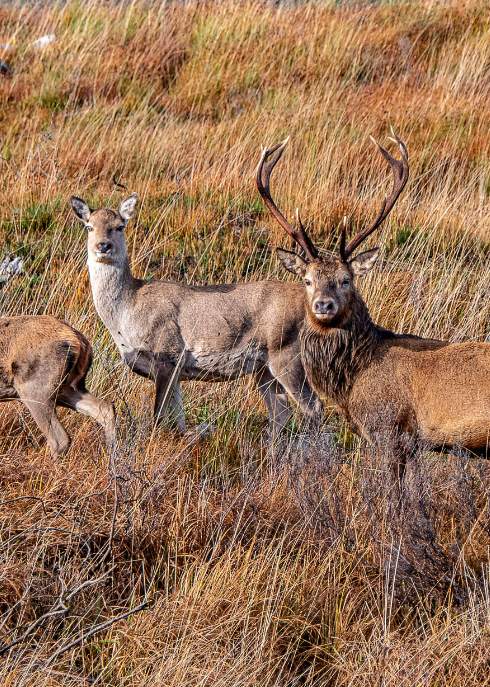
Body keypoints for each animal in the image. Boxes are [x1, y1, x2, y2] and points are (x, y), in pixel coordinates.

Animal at [69, 194, 322, 438]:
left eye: (120, 226)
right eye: (89, 226)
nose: (103, 246)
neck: (127, 312)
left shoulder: (168, 355)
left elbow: (158, 418)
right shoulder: (175, 372)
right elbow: (178, 421)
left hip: (288, 353)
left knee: (313, 407)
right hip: (263, 368)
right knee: (281, 412)